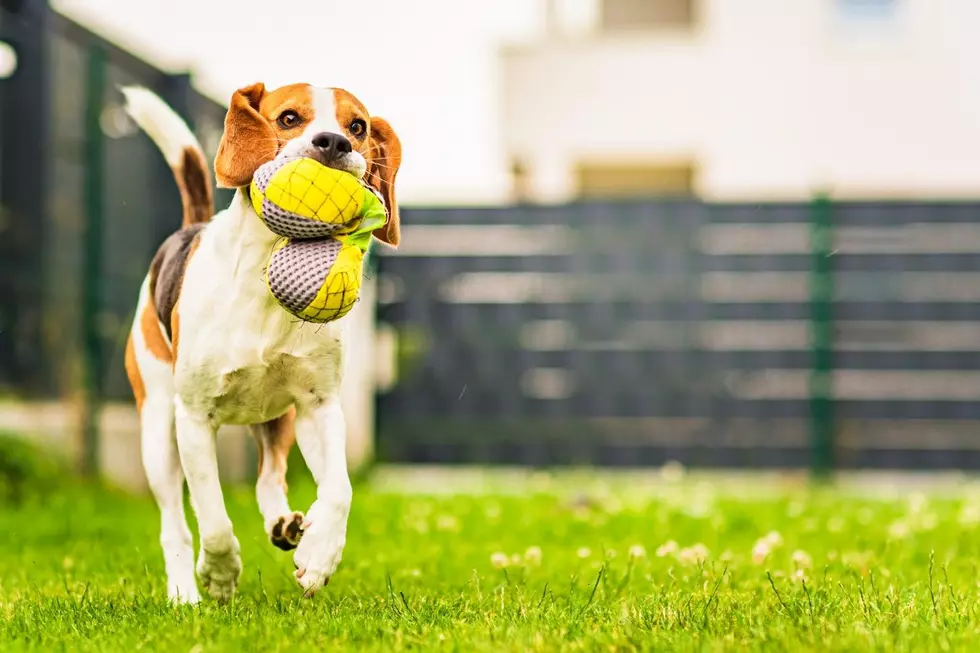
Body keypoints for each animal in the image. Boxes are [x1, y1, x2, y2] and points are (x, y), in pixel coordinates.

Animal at [119, 84, 402, 604]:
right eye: (288, 118)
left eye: (358, 127)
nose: (334, 143)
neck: (266, 269)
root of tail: (188, 228)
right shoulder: (194, 418)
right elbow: (212, 519)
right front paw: (219, 573)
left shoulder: (319, 405)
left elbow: (340, 490)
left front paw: (320, 553)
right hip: (158, 427)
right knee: (175, 522)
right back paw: (184, 593)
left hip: (277, 417)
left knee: (269, 475)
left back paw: (286, 525)